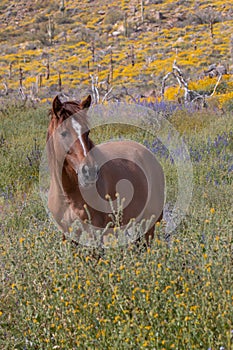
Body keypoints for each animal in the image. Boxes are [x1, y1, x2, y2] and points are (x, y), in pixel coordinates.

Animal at [46, 94, 165, 247]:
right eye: (63, 133)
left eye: (87, 132)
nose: (89, 171)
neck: (68, 194)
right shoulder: (68, 235)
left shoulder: (95, 232)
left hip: (148, 225)